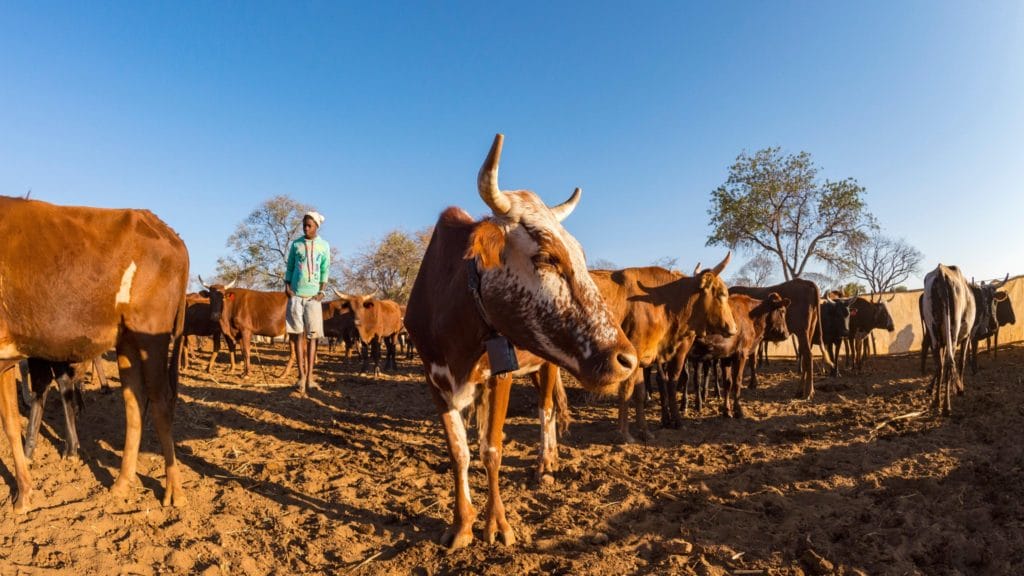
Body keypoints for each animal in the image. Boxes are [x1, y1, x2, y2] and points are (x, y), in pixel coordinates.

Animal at [0, 194, 188, 508]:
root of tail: (166, 230)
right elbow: (11, 423)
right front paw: (23, 493)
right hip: (126, 340)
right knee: (134, 402)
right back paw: (122, 484)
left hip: (152, 335)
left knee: (161, 401)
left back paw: (174, 490)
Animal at [403, 133, 634, 545]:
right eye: (546, 257)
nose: (627, 359)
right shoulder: (434, 379)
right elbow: (459, 452)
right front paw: (461, 524)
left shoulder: (501, 376)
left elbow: (491, 448)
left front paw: (496, 522)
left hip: (548, 364)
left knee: (546, 409)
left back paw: (547, 462)